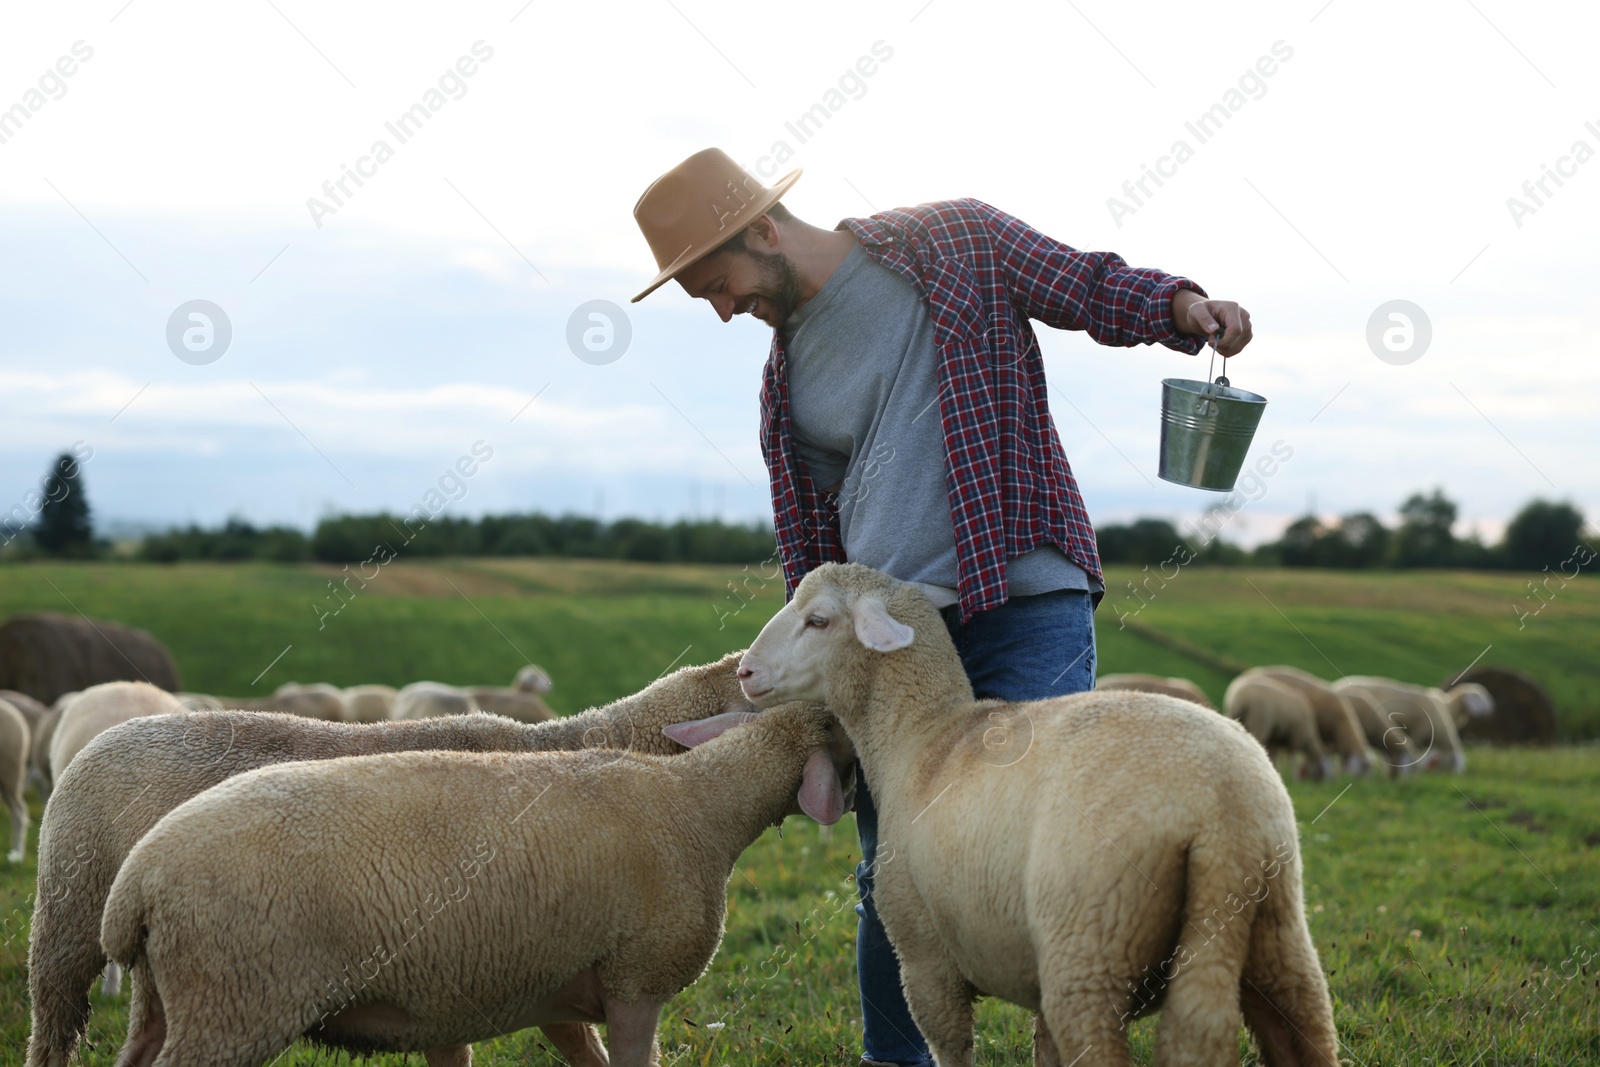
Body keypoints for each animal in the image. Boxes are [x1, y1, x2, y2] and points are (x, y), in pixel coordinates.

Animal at [736, 563, 1337, 1062]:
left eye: (817, 620)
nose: (744, 671)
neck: (922, 735)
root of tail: (1222, 813)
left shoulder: (926, 961)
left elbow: (952, 1051)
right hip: (1278, 939)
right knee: (1305, 1032)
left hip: (1090, 948)